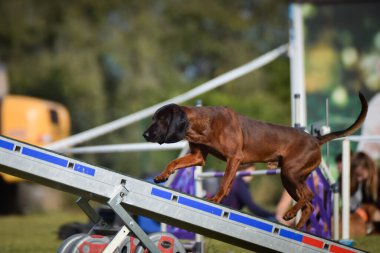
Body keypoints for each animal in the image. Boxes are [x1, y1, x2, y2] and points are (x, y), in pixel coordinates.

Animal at [141, 93, 366, 229]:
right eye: (152, 119)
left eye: (160, 119)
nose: (145, 135)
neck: (204, 124)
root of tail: (316, 139)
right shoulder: (198, 157)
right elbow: (173, 163)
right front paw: (162, 176)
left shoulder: (234, 158)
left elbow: (224, 182)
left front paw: (215, 199)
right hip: (289, 179)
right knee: (309, 205)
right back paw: (297, 226)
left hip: (290, 173)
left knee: (309, 195)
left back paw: (290, 215)